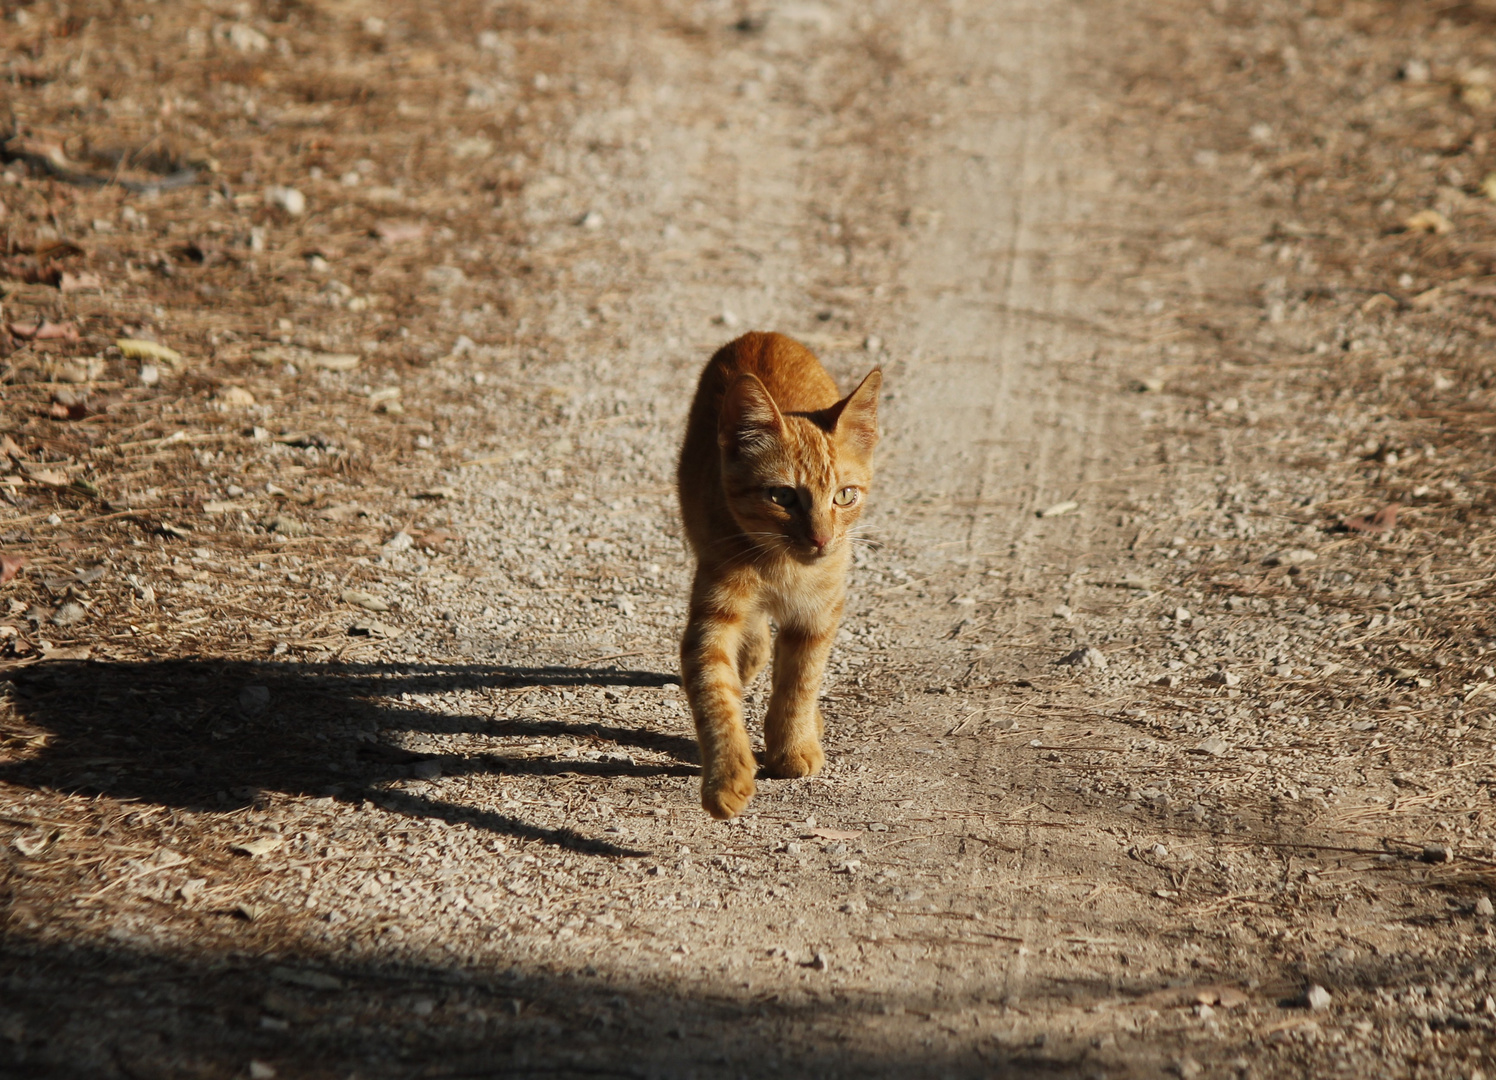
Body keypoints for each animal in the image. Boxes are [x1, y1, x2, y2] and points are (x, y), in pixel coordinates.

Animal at [676, 330, 873, 813]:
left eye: (845, 496)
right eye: (782, 496)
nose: (822, 539)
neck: (781, 570)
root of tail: (764, 335)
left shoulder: (818, 615)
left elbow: (799, 681)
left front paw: (792, 746)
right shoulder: (712, 617)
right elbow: (715, 694)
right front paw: (728, 777)